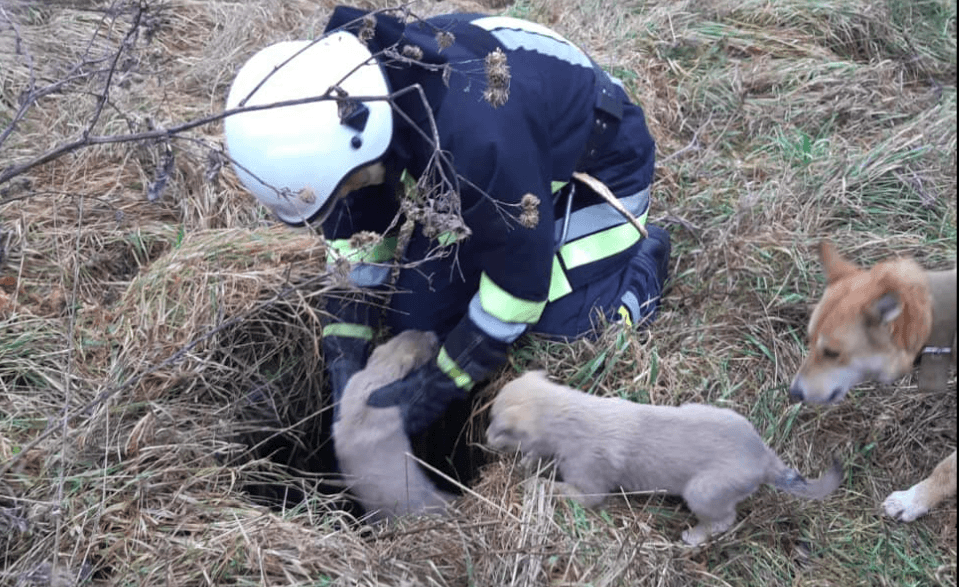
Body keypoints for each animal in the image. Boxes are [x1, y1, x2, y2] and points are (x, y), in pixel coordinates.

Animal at [488, 372, 840, 548]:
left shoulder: (589, 490)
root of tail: (763, 456)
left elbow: (555, 488)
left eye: (496, 425)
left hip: (702, 492)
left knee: (723, 521)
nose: (485, 438)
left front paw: (532, 483)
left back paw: (694, 537)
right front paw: (528, 464)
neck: (571, 416)